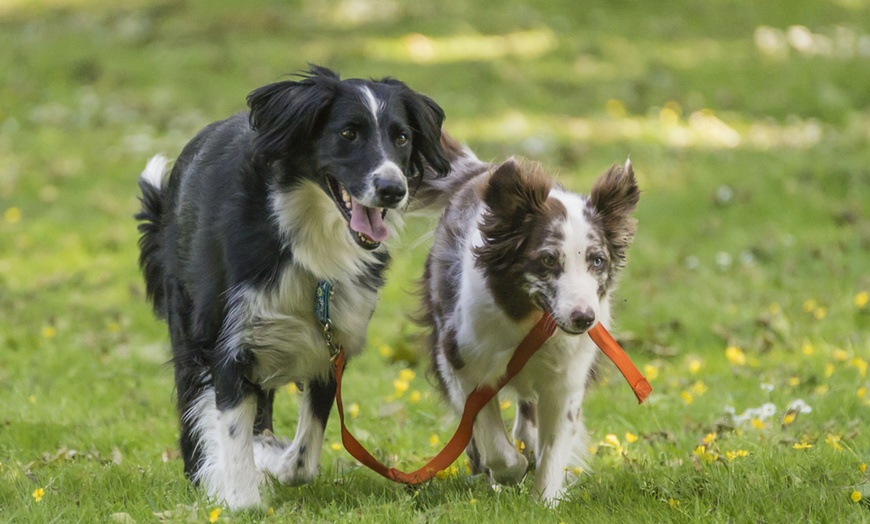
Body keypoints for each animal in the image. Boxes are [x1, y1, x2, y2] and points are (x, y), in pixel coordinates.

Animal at [418, 156, 636, 504]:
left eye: (598, 261)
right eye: (547, 260)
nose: (584, 318)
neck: (533, 320)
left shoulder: (567, 378)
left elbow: (555, 446)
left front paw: (545, 501)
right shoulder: (461, 360)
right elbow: (490, 438)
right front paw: (512, 469)